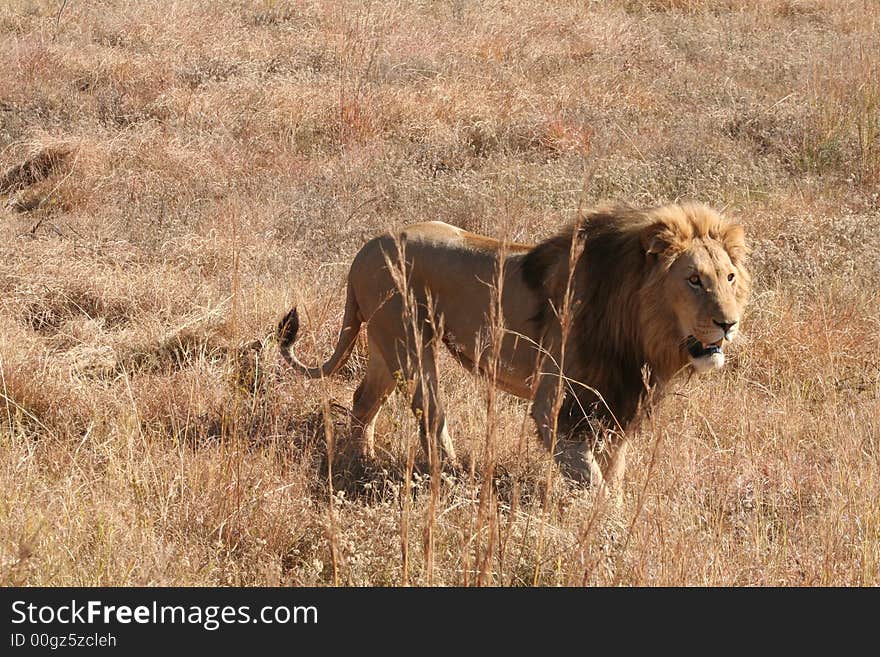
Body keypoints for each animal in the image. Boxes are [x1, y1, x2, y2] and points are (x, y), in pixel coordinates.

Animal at [280, 202, 748, 490]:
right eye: (693, 280)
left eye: (728, 278)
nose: (729, 324)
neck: (640, 328)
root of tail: (366, 248)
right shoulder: (555, 406)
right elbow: (592, 478)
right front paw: (608, 532)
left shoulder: (619, 402)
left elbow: (613, 472)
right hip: (410, 342)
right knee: (430, 413)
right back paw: (452, 476)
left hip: (384, 346)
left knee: (363, 399)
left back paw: (363, 461)